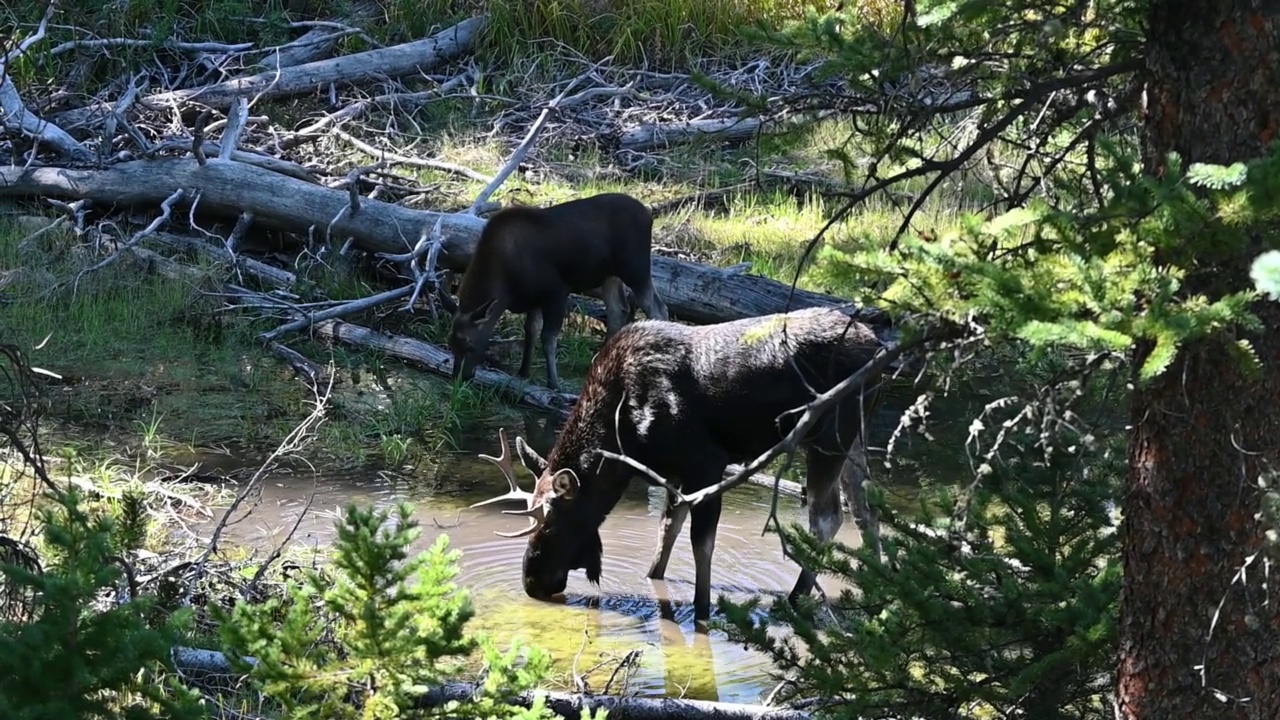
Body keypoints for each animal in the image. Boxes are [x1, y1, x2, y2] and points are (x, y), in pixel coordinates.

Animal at [437, 190, 670, 389]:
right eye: (450, 343)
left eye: (469, 343)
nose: (460, 377)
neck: (506, 287)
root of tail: (649, 215)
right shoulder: (533, 297)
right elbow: (531, 331)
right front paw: (523, 372)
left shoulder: (556, 291)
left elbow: (548, 337)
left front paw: (554, 383)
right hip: (610, 275)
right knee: (618, 310)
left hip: (635, 268)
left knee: (657, 308)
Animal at [471, 304, 890, 625]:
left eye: (553, 523)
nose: (532, 581)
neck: (623, 436)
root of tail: (879, 347)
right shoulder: (673, 472)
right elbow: (666, 531)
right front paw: (652, 579)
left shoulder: (706, 464)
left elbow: (700, 545)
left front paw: (702, 611)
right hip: (855, 435)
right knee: (865, 506)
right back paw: (879, 590)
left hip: (828, 435)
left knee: (827, 516)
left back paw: (797, 597)